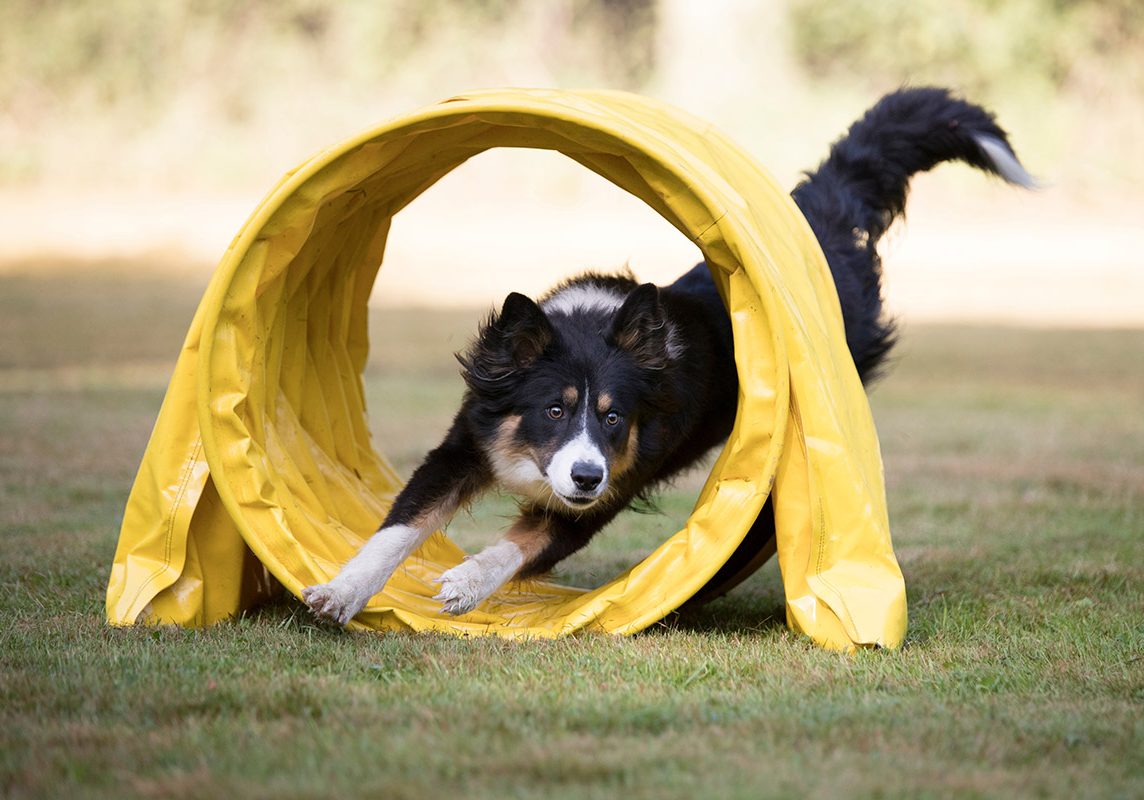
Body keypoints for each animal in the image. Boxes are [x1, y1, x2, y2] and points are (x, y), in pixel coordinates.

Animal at [304, 89, 1038, 627]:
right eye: (552, 410)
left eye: (613, 419)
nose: (585, 476)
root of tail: (822, 229)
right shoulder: (467, 442)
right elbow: (399, 526)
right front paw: (342, 592)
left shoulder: (609, 492)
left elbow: (520, 544)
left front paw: (462, 581)